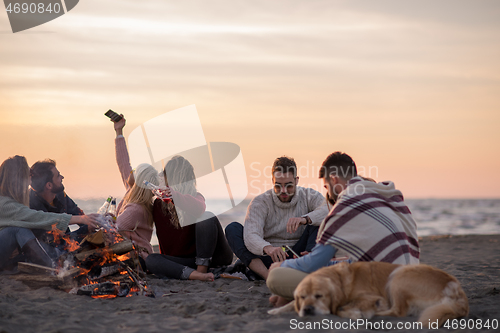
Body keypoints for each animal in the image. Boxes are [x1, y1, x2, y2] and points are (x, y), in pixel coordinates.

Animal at [270, 260, 468, 326]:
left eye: (320, 296)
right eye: (302, 298)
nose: (308, 310)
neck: (340, 280)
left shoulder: (370, 296)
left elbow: (341, 308)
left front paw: (355, 313)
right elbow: (290, 304)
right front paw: (276, 310)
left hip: (398, 275)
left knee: (398, 311)